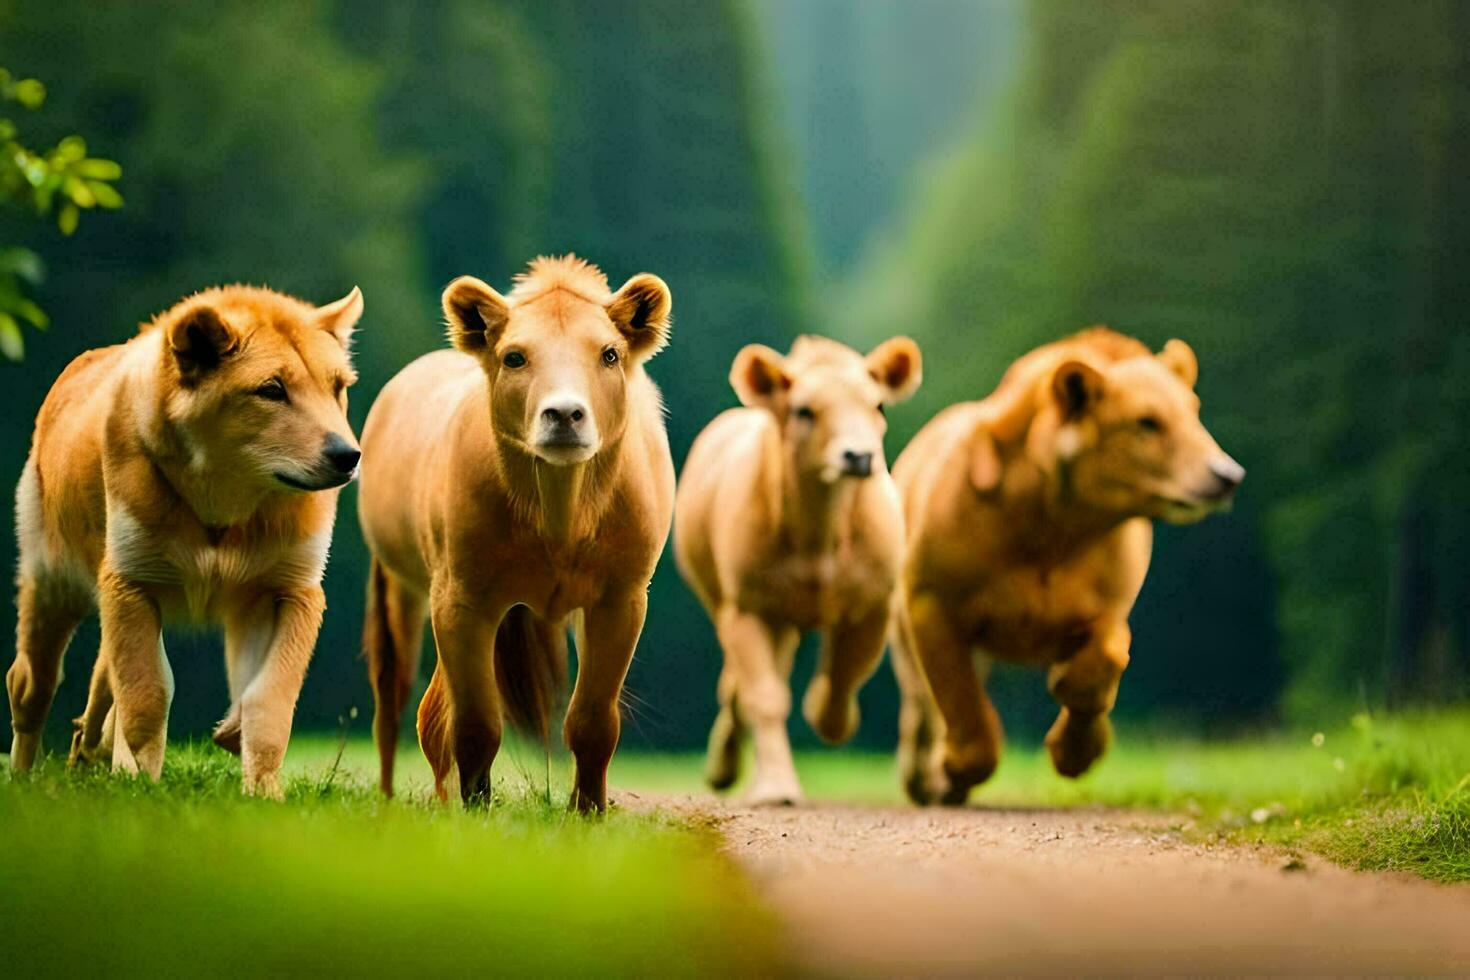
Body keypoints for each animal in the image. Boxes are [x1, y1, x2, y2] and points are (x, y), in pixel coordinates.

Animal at [8, 285, 364, 799]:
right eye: (271, 390)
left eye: (337, 386)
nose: (348, 456)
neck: (223, 507)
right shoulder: (132, 582)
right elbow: (147, 694)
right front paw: (140, 784)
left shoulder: (291, 590)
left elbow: (268, 700)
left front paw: (264, 791)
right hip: (53, 584)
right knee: (30, 684)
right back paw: (25, 776)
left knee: (100, 683)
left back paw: (89, 750)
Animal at [361, 255, 673, 811]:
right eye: (514, 357)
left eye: (609, 353)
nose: (565, 413)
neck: (560, 511)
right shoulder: (461, 596)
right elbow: (473, 723)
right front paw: (476, 810)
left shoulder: (621, 596)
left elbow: (593, 720)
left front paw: (588, 812)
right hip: (401, 582)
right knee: (395, 700)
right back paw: (395, 796)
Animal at [673, 333, 917, 799]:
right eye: (804, 411)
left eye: (877, 405)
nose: (858, 456)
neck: (819, 534)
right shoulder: (749, 606)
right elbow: (765, 697)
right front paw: (776, 787)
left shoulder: (873, 605)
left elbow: (842, 679)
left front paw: (828, 717)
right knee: (739, 686)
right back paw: (725, 765)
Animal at [887, 329, 1246, 805]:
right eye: (1147, 422)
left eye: (1194, 413)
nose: (1226, 474)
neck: (1055, 524)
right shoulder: (933, 595)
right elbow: (956, 691)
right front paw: (958, 766)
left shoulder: (1104, 591)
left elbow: (1107, 652)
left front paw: (1075, 742)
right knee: (920, 698)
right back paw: (925, 778)